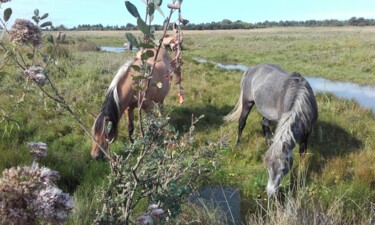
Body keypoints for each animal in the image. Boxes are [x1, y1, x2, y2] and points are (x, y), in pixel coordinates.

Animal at [225, 63, 318, 195]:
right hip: (247, 103)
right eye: (267, 166)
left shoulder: (306, 136)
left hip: (267, 112)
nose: (270, 192)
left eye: (284, 168)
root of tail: (252, 68)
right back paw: (238, 144)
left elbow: (302, 155)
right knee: (242, 123)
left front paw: (301, 176)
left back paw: (268, 143)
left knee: (264, 124)